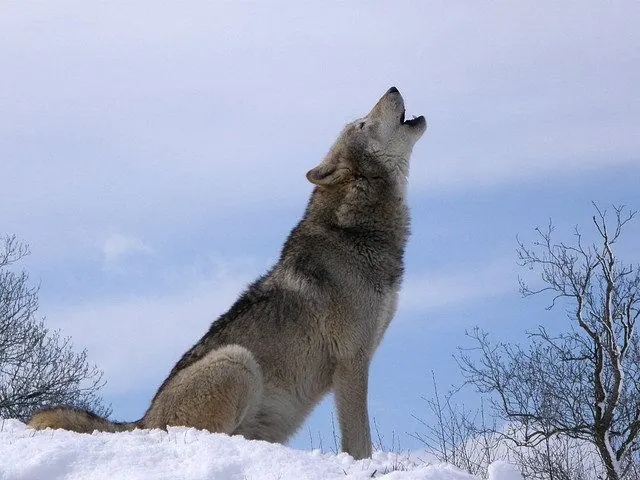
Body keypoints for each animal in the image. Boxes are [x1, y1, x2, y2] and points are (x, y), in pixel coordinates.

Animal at [28, 87, 426, 460]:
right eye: (362, 124)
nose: (393, 88)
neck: (354, 231)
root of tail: (142, 422)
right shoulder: (351, 361)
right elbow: (359, 440)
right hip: (238, 361)